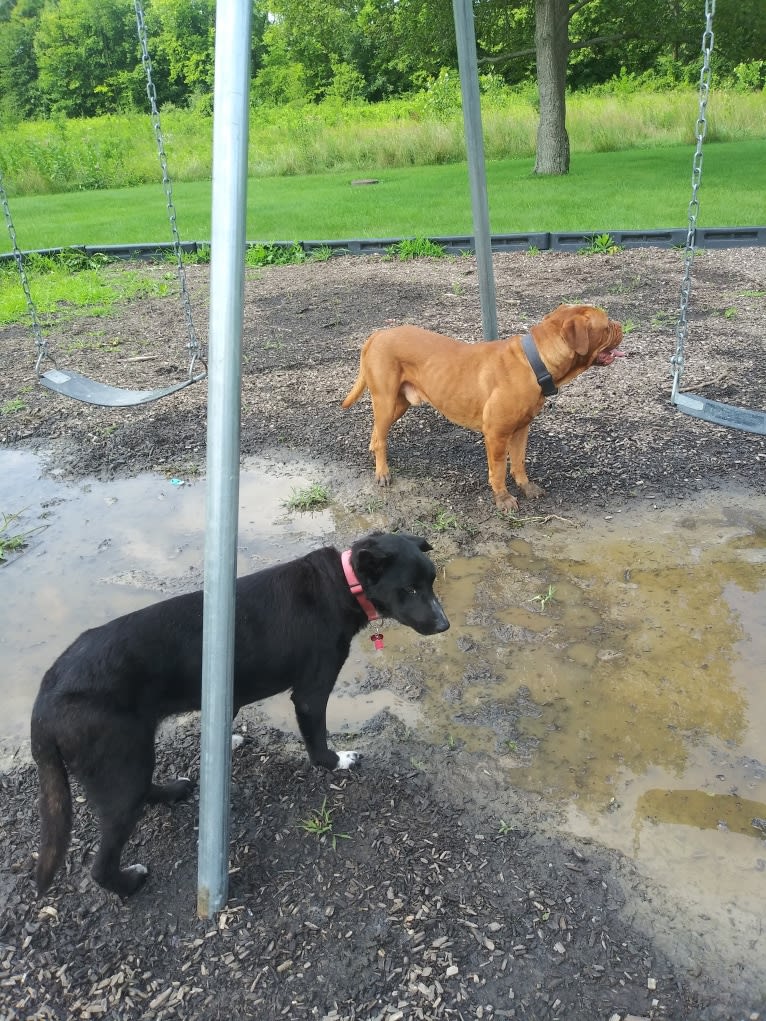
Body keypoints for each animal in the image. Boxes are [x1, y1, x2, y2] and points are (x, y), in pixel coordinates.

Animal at [31, 530, 449, 898]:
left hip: (131, 756)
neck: (344, 584)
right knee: (102, 862)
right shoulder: (311, 694)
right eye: (411, 589)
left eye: (430, 582)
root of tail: (45, 698)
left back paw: (173, 791)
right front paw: (337, 762)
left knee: (144, 788)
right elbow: (317, 742)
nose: (445, 624)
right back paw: (129, 882)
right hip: (120, 763)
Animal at [341, 302, 625, 510]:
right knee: (381, 438)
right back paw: (382, 472)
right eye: (607, 324)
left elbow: (519, 462)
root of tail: (378, 334)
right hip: (386, 400)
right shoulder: (496, 435)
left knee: (376, 433)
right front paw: (503, 498)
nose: (622, 325)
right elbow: (498, 470)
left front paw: (525, 486)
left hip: (397, 404)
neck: (536, 362)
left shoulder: (521, 429)